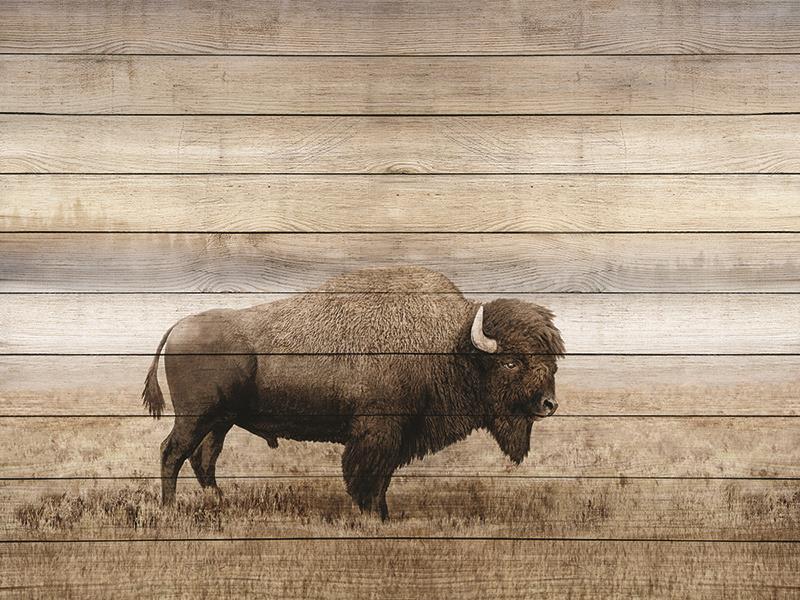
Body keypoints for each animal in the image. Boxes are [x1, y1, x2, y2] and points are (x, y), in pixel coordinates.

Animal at [142, 266, 564, 519]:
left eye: (552, 362)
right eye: (510, 362)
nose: (549, 404)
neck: (451, 344)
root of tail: (178, 326)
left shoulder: (396, 436)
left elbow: (382, 478)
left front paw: (384, 515)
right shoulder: (378, 432)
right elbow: (368, 476)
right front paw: (373, 515)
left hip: (221, 421)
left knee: (204, 458)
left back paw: (219, 500)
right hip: (196, 417)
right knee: (172, 452)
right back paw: (170, 509)